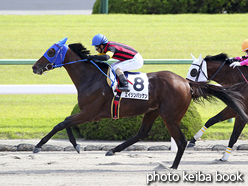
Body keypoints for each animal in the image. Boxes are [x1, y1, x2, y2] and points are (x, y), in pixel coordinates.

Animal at [32, 38, 248, 169]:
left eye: (51, 51)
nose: (35, 67)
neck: (91, 78)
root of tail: (186, 83)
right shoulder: (86, 113)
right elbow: (66, 122)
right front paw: (76, 145)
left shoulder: (89, 113)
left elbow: (61, 123)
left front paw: (38, 146)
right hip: (153, 110)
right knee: (143, 132)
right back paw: (113, 150)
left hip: (170, 116)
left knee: (181, 141)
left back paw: (173, 166)